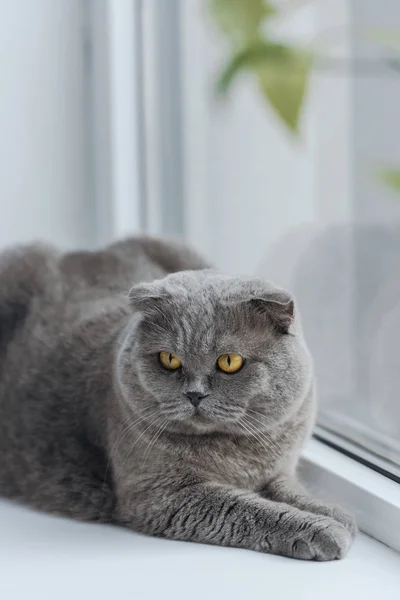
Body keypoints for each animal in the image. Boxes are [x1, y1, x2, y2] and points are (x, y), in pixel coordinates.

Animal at [0, 237, 356, 560]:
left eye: (230, 362)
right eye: (169, 359)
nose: (194, 394)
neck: (239, 453)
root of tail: (82, 251)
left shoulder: (278, 469)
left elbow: (289, 489)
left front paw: (333, 513)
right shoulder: (163, 495)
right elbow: (249, 509)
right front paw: (324, 531)